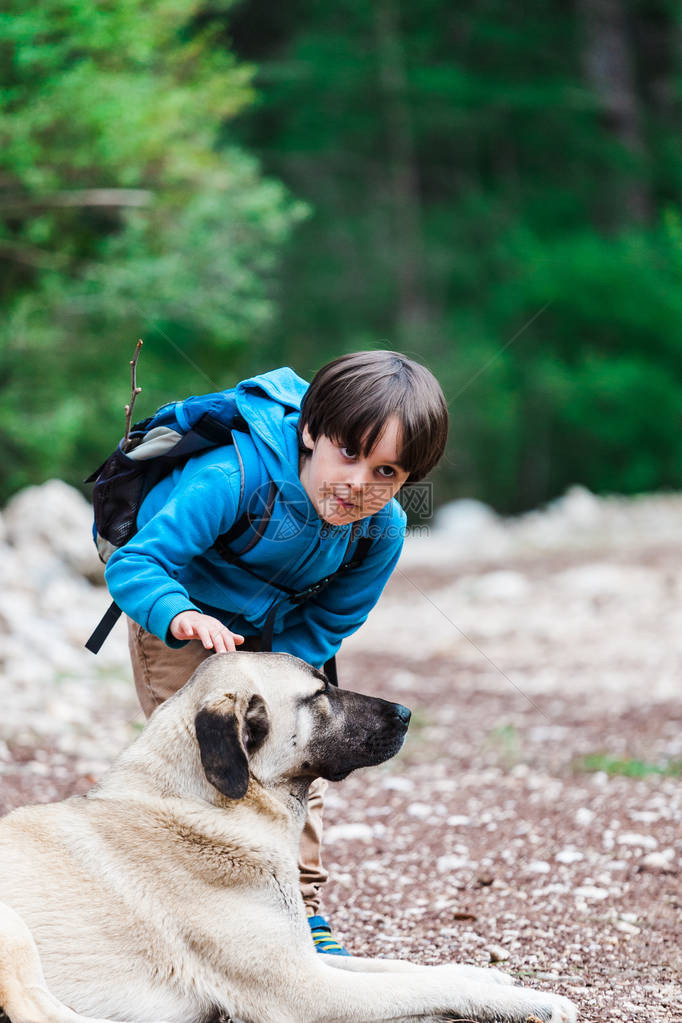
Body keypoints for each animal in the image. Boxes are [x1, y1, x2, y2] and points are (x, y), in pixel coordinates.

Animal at [0, 654, 576, 1023]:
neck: (210, 807)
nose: (407, 713)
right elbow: (421, 983)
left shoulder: (304, 957)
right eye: (319, 695)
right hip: (13, 929)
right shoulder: (304, 990)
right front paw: (534, 1003)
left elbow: (403, 965)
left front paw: (489, 978)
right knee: (36, 1010)